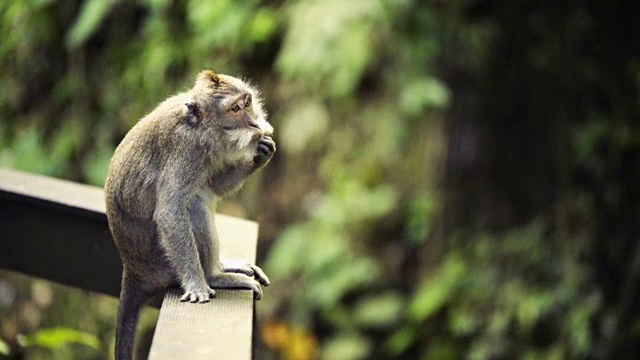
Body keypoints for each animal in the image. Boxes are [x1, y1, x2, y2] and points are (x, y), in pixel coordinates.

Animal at [104, 69, 276, 358]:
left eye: (247, 102)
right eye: (235, 109)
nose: (254, 123)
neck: (201, 128)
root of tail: (133, 269)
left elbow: (214, 185)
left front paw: (262, 152)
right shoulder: (186, 151)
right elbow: (170, 211)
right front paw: (197, 284)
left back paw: (222, 266)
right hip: (161, 263)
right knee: (193, 205)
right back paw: (214, 276)